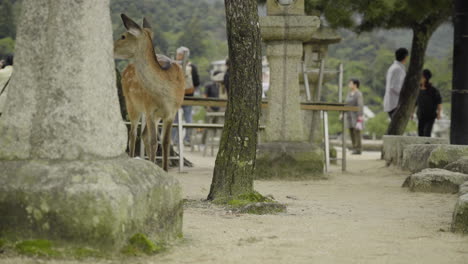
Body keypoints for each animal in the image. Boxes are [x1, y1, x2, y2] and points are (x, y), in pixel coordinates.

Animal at [114, 14, 186, 171]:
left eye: (123, 36)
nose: (111, 47)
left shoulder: (171, 113)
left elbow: (165, 142)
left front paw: (164, 170)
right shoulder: (149, 109)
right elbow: (154, 141)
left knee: (143, 134)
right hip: (131, 103)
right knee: (133, 133)